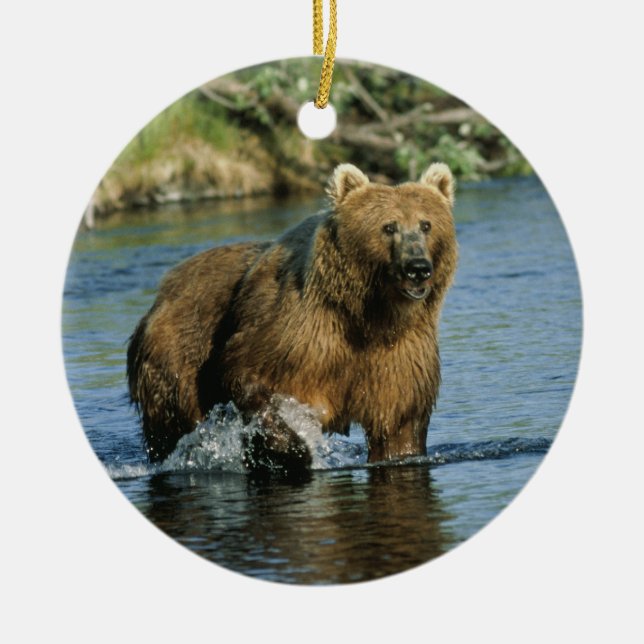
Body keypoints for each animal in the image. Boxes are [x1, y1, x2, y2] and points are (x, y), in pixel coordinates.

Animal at [127, 162, 458, 473]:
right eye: (388, 226)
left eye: (426, 224)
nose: (417, 267)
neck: (369, 315)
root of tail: (163, 290)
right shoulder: (299, 335)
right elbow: (250, 377)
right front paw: (292, 450)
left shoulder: (400, 355)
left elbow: (399, 427)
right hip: (177, 355)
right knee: (173, 424)